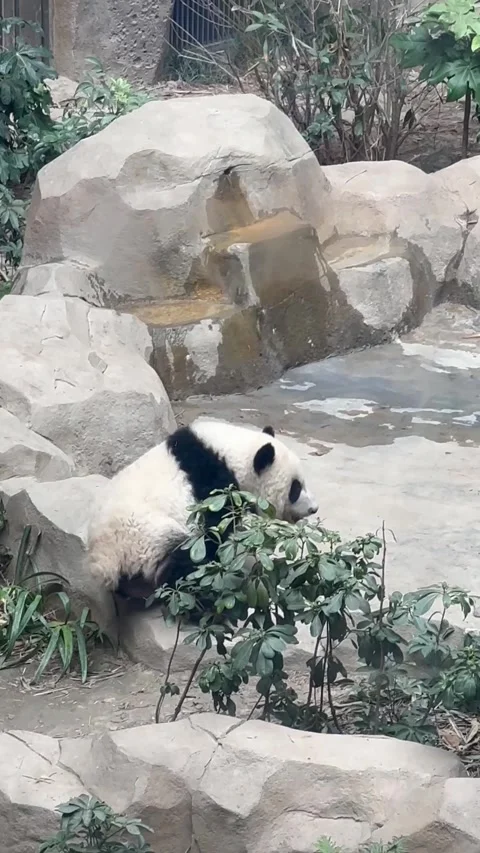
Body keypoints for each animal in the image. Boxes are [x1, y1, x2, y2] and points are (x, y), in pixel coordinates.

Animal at [87, 418, 319, 602]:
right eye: (295, 488)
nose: (313, 508)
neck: (232, 454)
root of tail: (104, 557)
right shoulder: (215, 487)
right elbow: (214, 533)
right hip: (148, 535)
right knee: (182, 563)